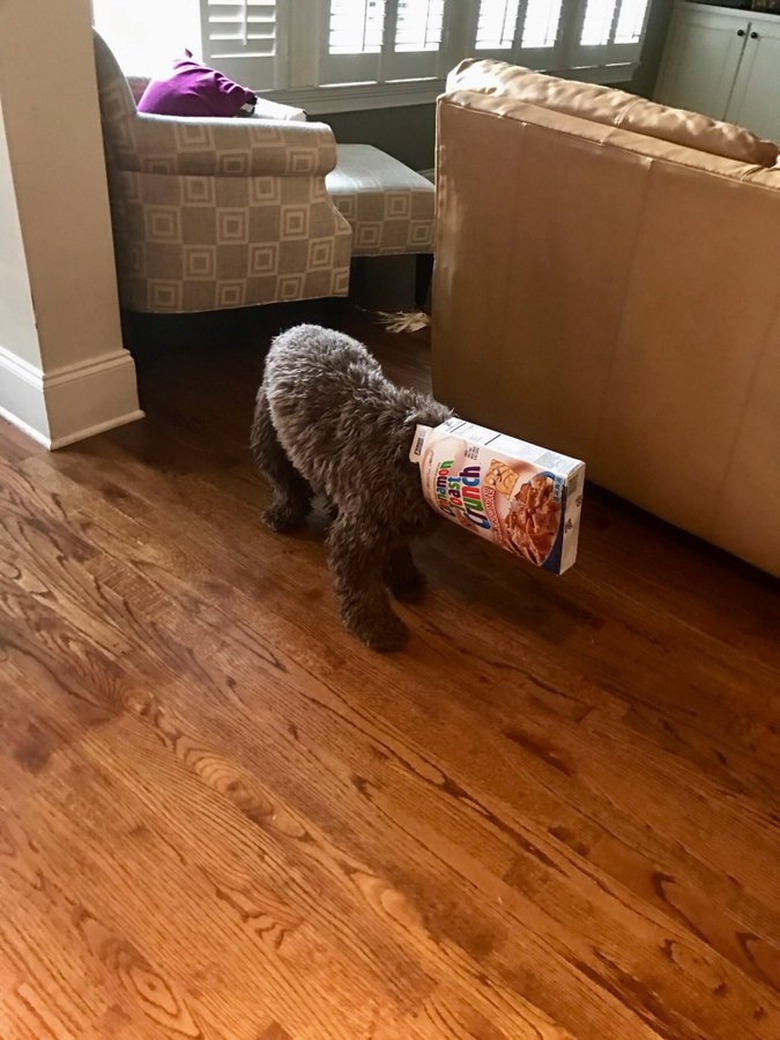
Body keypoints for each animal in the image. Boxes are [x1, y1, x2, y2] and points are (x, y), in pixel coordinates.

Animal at [251, 322, 451, 648]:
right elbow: (363, 591)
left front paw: (405, 580)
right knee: (287, 485)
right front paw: (377, 627)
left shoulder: (389, 524)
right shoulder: (356, 541)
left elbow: (398, 552)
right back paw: (283, 514)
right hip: (268, 438)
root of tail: (297, 328)